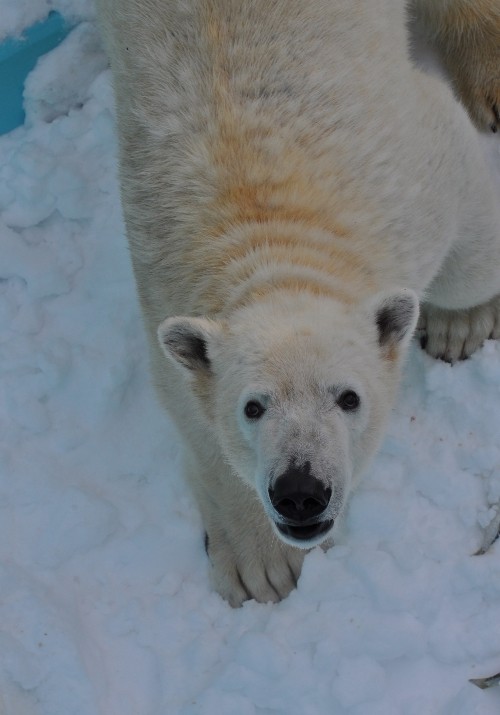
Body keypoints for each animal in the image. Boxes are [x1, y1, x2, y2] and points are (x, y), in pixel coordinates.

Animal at [95, 0, 500, 604]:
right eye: (252, 406)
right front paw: (260, 564)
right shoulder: (162, 283)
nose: (300, 492)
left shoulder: (412, 180)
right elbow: (195, 416)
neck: (271, 233)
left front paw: (460, 323)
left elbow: (468, 231)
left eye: (349, 398)